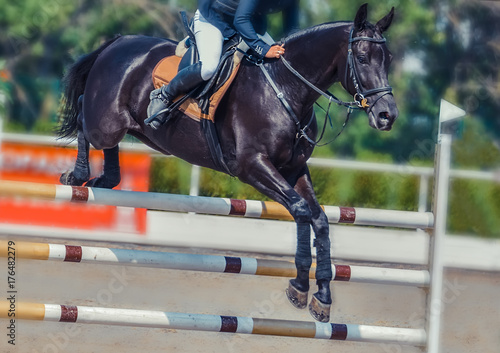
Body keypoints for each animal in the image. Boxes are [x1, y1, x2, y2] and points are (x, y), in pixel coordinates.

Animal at [56, 3, 398, 322]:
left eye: (389, 59)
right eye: (362, 57)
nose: (387, 115)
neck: (286, 89)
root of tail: (118, 42)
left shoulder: (294, 169)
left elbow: (320, 219)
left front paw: (321, 298)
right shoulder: (252, 166)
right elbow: (301, 211)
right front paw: (299, 288)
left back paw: (106, 178)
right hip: (106, 121)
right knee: (85, 118)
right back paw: (77, 175)